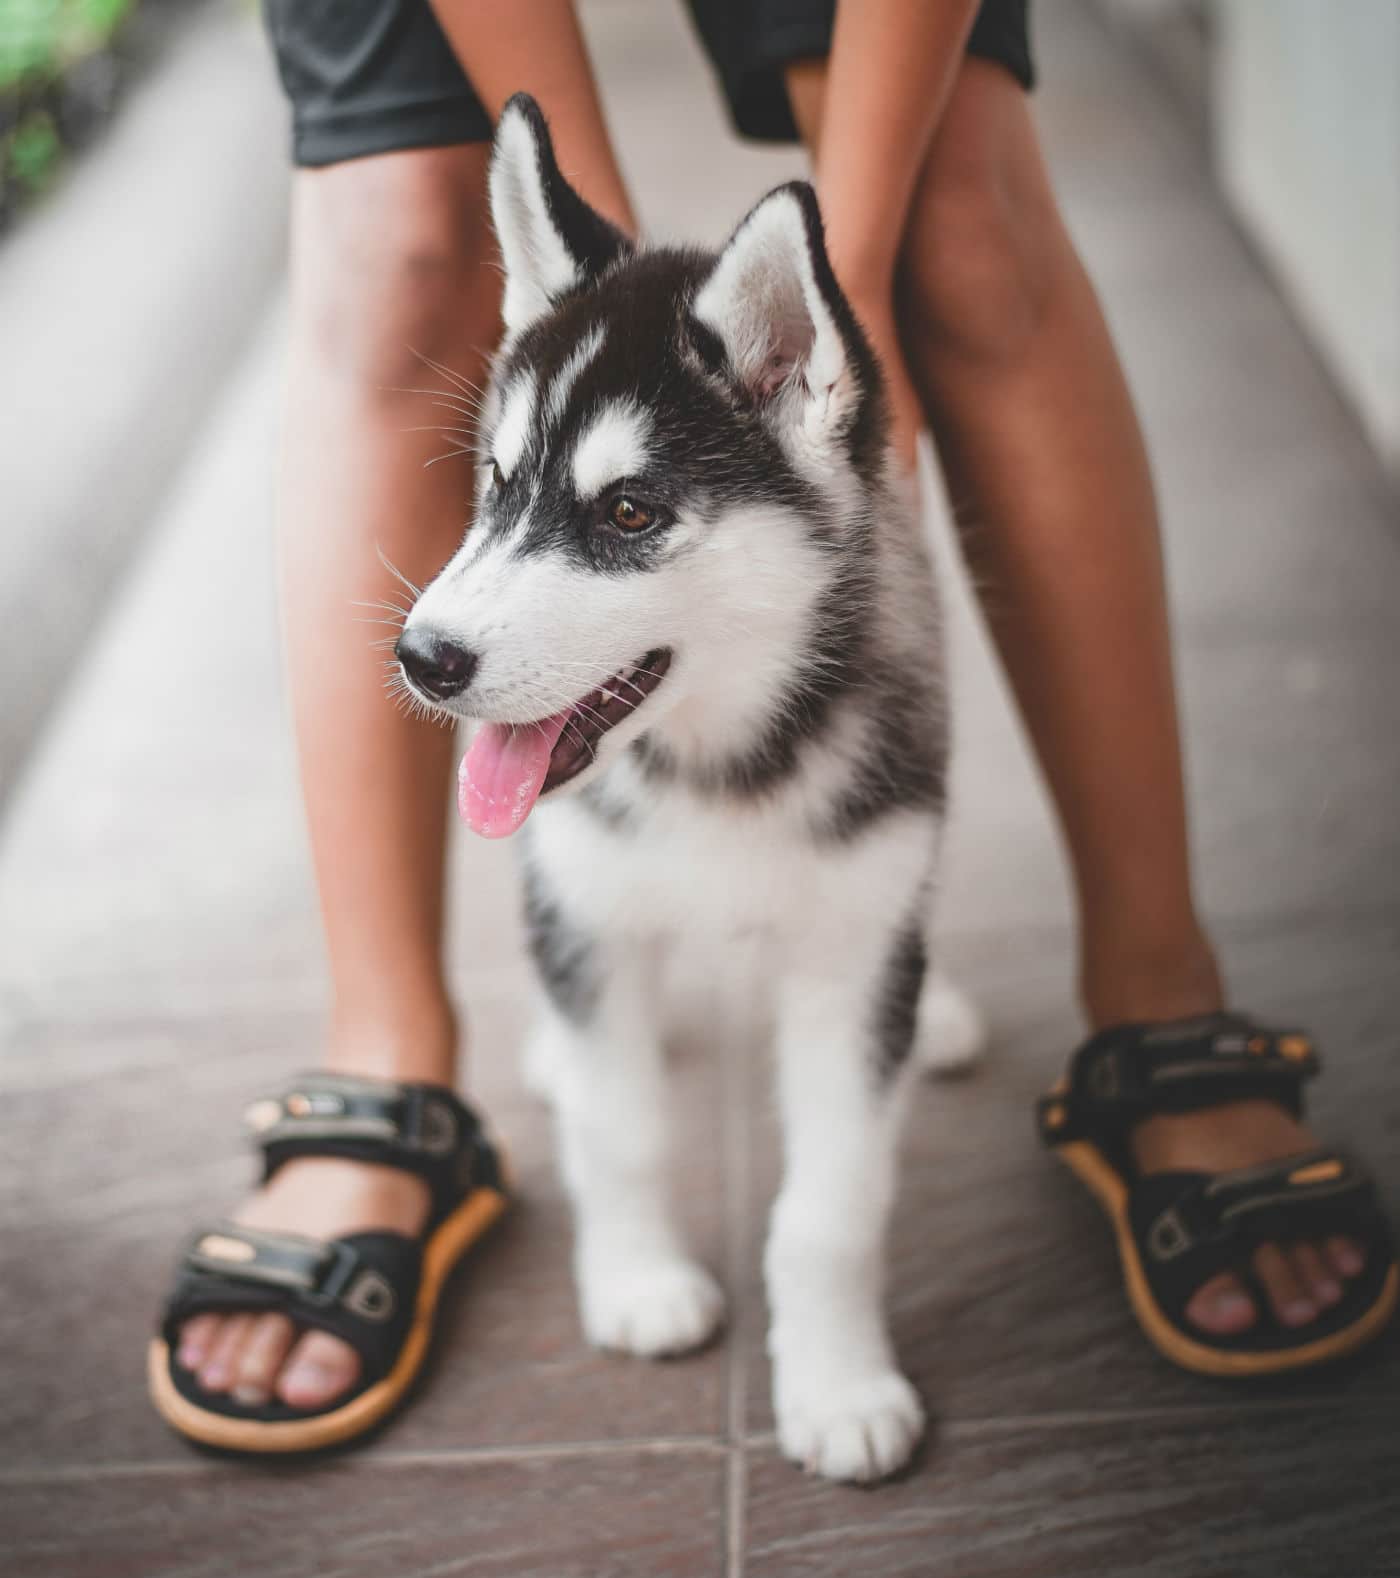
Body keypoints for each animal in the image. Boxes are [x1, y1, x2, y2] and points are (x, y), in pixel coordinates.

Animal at [396, 95, 984, 1477]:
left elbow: (832, 1203)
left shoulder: (846, 954)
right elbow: (621, 1134)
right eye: (495, 482)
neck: (713, 764)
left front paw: (836, 1387)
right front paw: (638, 1285)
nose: (421, 658)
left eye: (626, 512)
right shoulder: (587, 905)